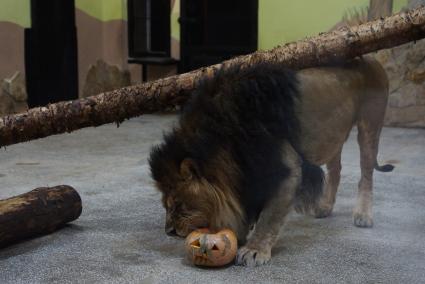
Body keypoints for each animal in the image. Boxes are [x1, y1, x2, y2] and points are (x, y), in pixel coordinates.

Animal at [148, 57, 390, 266]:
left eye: (178, 204)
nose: (169, 231)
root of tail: (370, 58)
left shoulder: (286, 169)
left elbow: (269, 215)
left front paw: (254, 250)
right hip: (333, 138)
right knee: (336, 168)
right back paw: (325, 207)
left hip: (370, 126)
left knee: (366, 172)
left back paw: (363, 215)